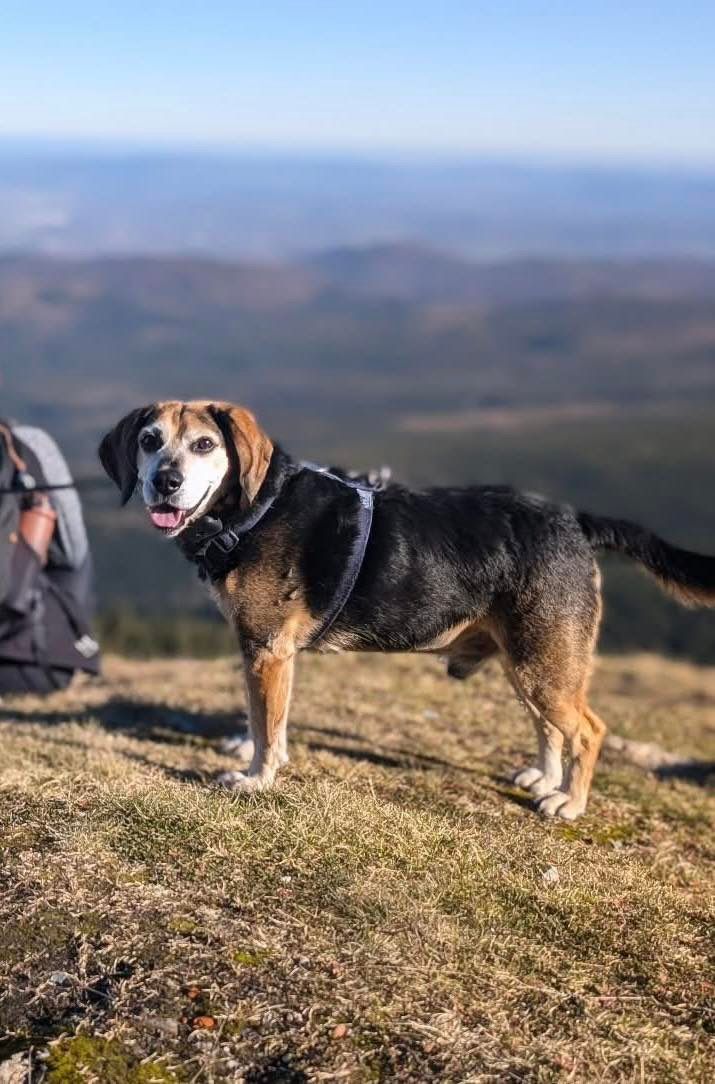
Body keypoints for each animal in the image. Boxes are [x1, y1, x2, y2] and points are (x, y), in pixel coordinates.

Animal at [99, 403, 715, 815]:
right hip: (529, 663)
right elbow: (267, 719)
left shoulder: (267, 651)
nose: (164, 482)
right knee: (550, 727)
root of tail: (576, 521)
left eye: (205, 445)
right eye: (150, 440)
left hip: (544, 664)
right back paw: (546, 780)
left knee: (588, 730)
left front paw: (255, 779)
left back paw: (570, 803)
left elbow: (265, 726)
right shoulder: (268, 655)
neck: (254, 507)